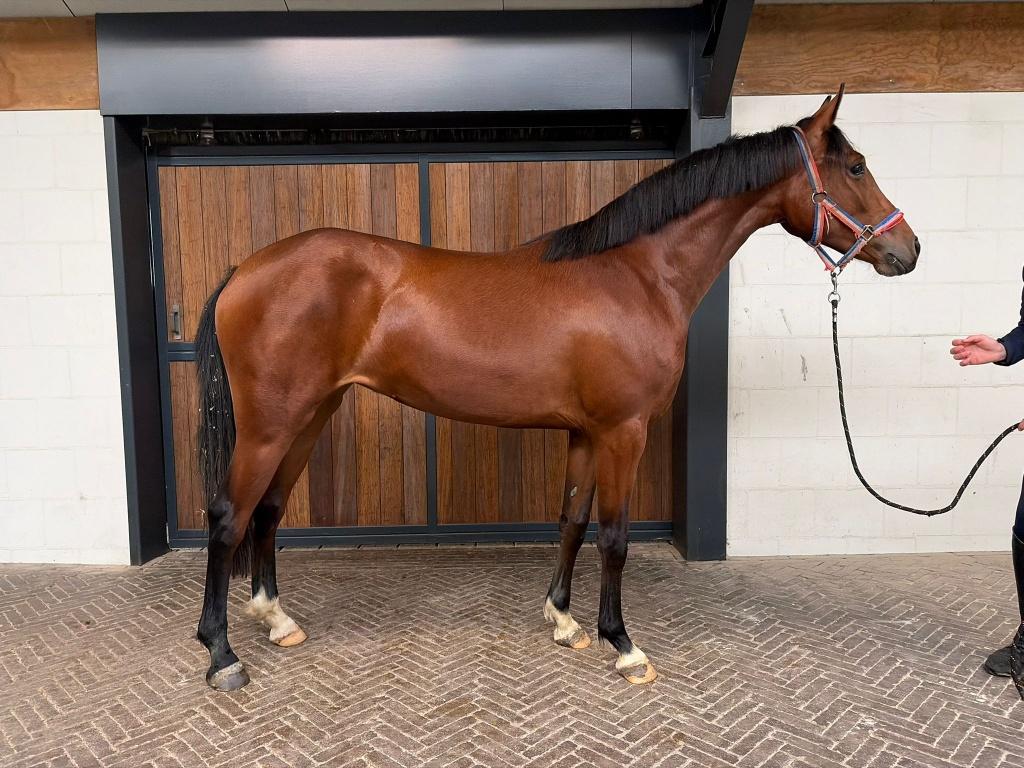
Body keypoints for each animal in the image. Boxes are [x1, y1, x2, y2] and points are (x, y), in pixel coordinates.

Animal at [193, 85, 920, 691]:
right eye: (856, 168)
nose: (908, 251)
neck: (638, 274)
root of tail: (243, 269)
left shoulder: (585, 432)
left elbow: (571, 520)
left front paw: (564, 621)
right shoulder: (624, 431)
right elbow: (615, 536)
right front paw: (623, 645)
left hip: (311, 413)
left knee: (269, 509)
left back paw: (277, 620)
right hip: (271, 422)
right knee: (228, 515)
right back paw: (222, 655)